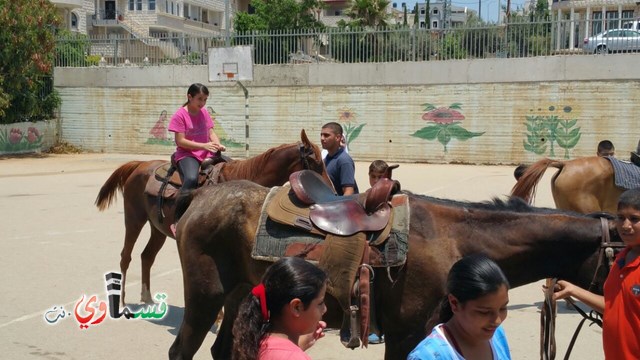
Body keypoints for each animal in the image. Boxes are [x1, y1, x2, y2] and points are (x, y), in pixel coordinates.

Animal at [95, 129, 330, 304]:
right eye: (317, 163)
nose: (331, 190)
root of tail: (140, 165)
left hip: (157, 228)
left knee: (147, 256)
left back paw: (147, 298)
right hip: (134, 219)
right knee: (126, 256)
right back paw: (122, 302)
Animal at [168, 181, 616, 360]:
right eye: (622, 251)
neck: (453, 239)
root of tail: (201, 195)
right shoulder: (406, 334)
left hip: (238, 295)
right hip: (205, 298)